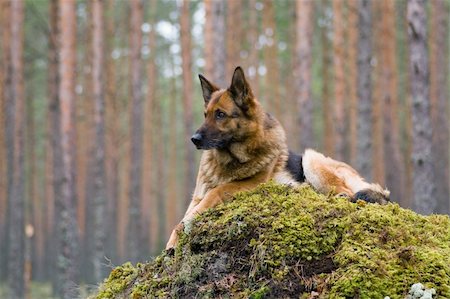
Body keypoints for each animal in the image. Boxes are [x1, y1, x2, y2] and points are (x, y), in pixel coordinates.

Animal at [165, 67, 390, 250]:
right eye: (206, 115)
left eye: (220, 114)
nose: (194, 139)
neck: (228, 162)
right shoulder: (196, 197)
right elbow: (181, 220)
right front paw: (172, 242)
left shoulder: (251, 184)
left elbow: (216, 192)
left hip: (311, 159)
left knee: (345, 192)